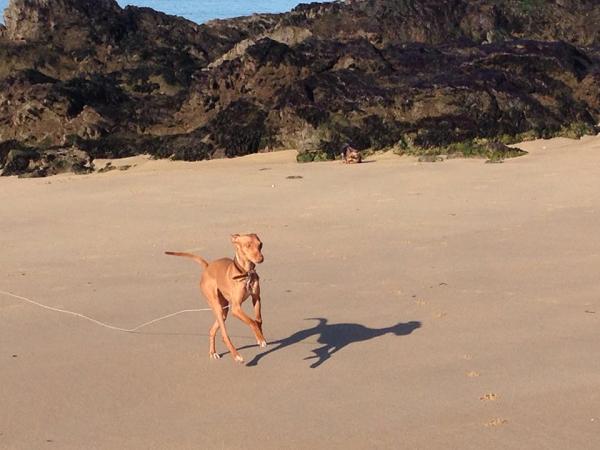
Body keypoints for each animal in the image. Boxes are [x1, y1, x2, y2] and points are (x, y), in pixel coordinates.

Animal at [165, 234, 266, 364]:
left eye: (260, 244)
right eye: (248, 245)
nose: (261, 258)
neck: (245, 273)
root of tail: (208, 266)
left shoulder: (256, 298)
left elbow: (258, 320)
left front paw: (260, 336)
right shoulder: (236, 309)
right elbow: (252, 321)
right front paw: (260, 338)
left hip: (223, 310)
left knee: (212, 330)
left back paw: (213, 352)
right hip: (217, 306)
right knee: (224, 335)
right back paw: (236, 356)